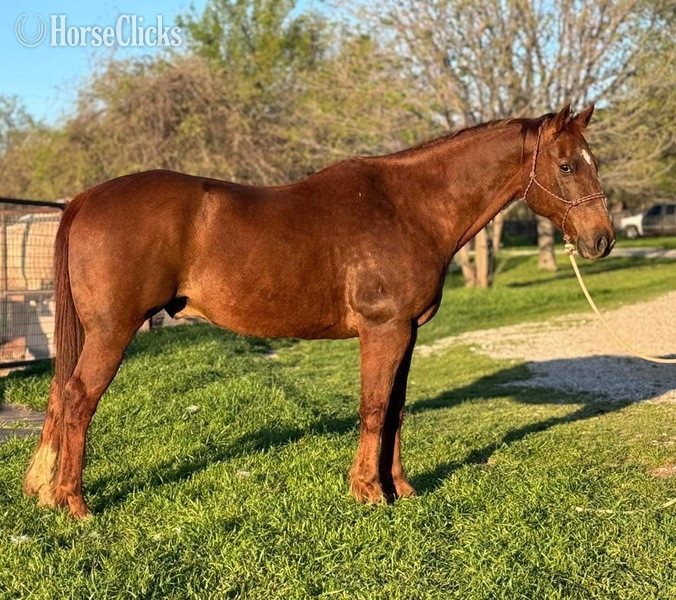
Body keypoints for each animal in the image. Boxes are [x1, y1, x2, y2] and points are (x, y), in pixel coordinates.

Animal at [24, 104, 614, 518]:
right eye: (566, 165)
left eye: (595, 162)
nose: (601, 240)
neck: (409, 206)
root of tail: (84, 199)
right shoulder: (384, 330)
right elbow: (374, 408)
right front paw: (368, 492)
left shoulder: (408, 334)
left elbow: (396, 409)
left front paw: (401, 489)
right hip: (111, 333)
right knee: (77, 401)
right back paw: (75, 504)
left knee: (58, 395)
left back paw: (45, 493)